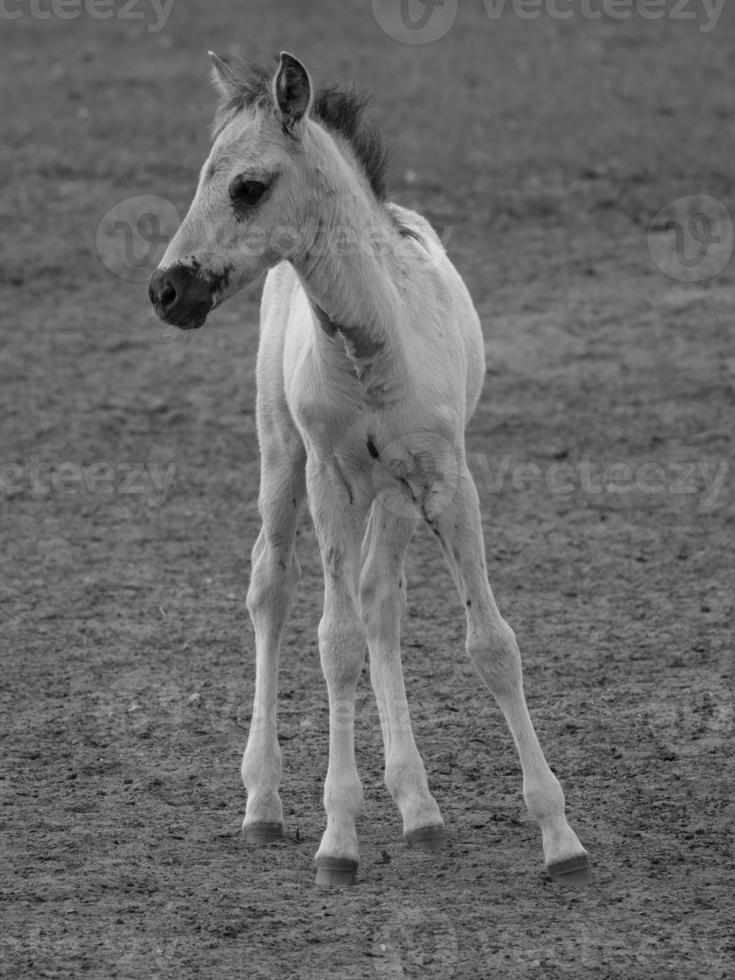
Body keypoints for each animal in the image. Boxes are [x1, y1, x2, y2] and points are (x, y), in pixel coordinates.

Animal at [150, 49, 592, 888]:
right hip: (282, 455)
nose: (166, 289)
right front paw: (338, 839)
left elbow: (490, 644)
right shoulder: (329, 480)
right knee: (271, 587)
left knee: (381, 599)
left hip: (394, 497)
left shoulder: (448, 482)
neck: (370, 341)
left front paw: (560, 839)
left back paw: (420, 811)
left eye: (246, 186)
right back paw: (264, 805)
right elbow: (335, 643)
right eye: (201, 177)